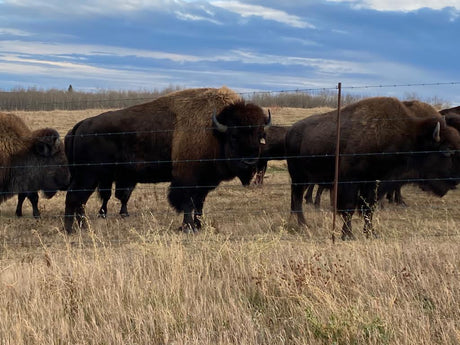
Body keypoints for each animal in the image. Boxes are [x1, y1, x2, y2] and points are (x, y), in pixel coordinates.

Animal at [65, 86, 274, 232]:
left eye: (259, 135)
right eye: (234, 136)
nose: (249, 163)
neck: (214, 131)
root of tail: (81, 125)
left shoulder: (204, 182)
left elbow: (199, 204)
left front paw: (199, 225)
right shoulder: (187, 180)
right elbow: (188, 203)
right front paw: (188, 227)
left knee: (79, 200)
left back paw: (81, 227)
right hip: (89, 175)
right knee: (75, 197)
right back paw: (72, 229)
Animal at [288, 95, 460, 238]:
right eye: (447, 151)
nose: (456, 179)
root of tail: (292, 130)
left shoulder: (375, 185)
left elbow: (368, 209)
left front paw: (371, 233)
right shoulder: (350, 183)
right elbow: (349, 209)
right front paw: (348, 235)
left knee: (296, 199)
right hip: (299, 177)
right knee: (297, 200)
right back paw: (303, 225)